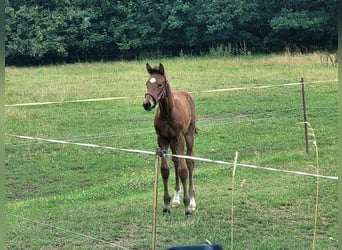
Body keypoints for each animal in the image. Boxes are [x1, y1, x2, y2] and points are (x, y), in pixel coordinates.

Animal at [142, 63, 196, 217]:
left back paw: (192, 200)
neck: (167, 113)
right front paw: (166, 205)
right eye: (147, 83)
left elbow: (183, 171)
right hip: (172, 142)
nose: (147, 104)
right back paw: (176, 199)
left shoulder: (179, 138)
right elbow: (165, 170)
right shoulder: (162, 140)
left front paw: (187, 207)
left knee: (190, 162)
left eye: (160, 84)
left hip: (188, 136)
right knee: (176, 161)